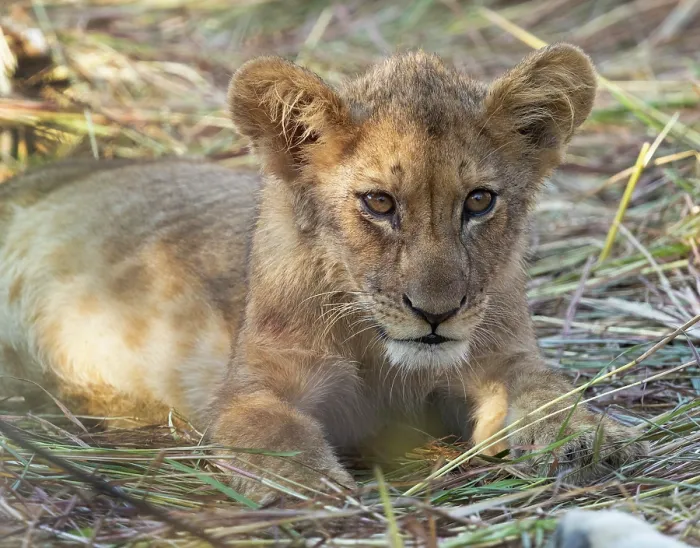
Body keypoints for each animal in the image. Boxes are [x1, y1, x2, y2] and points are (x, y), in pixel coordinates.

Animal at [1, 43, 673, 547]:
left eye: (479, 201)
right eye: (379, 203)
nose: (436, 314)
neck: (381, 357)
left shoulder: (501, 356)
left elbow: (547, 386)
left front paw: (589, 435)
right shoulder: (249, 389)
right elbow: (276, 433)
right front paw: (314, 492)